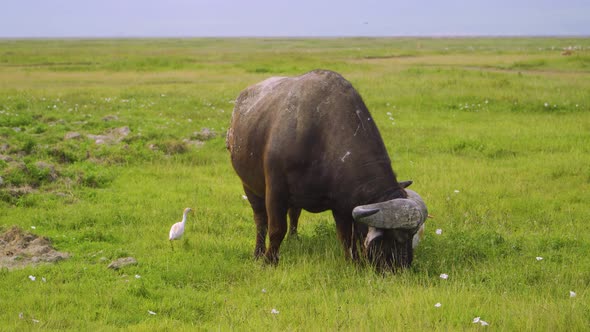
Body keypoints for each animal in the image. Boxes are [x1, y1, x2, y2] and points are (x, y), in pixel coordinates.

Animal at [228, 69, 430, 270]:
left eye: (414, 235)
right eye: (398, 237)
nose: (403, 267)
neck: (321, 137)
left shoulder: (342, 204)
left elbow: (346, 236)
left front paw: (353, 262)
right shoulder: (276, 191)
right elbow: (276, 229)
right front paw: (269, 261)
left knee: (294, 214)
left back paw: (294, 239)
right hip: (249, 185)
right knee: (260, 219)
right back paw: (259, 251)